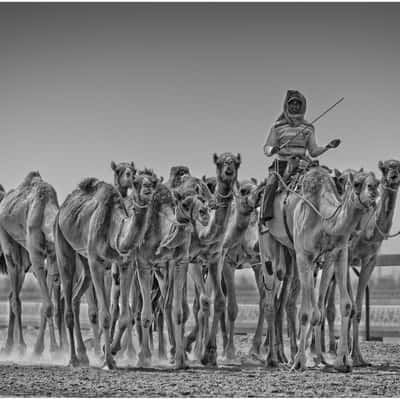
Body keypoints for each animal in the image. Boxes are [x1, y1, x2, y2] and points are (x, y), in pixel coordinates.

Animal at [0, 173, 60, 354]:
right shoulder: (36, 255)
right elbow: (48, 306)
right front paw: (38, 350)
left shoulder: (52, 254)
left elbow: (47, 305)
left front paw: (53, 349)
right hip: (7, 243)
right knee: (15, 297)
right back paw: (18, 346)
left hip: (23, 258)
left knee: (13, 293)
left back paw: (11, 345)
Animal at [54, 169, 159, 368]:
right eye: (135, 182)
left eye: (154, 181)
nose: (148, 188)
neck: (113, 230)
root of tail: (63, 208)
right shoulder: (96, 262)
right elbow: (105, 315)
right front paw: (108, 361)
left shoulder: (125, 264)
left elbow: (124, 317)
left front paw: (110, 352)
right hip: (62, 243)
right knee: (68, 303)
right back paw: (73, 359)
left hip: (84, 259)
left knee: (75, 297)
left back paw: (84, 356)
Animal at [260, 164, 380, 370]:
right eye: (357, 183)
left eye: (377, 181)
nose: (373, 191)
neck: (324, 219)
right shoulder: (304, 255)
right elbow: (306, 312)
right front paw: (299, 362)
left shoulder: (337, 254)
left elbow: (343, 305)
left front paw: (341, 362)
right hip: (268, 246)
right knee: (271, 298)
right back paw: (273, 359)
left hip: (291, 254)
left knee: (287, 297)